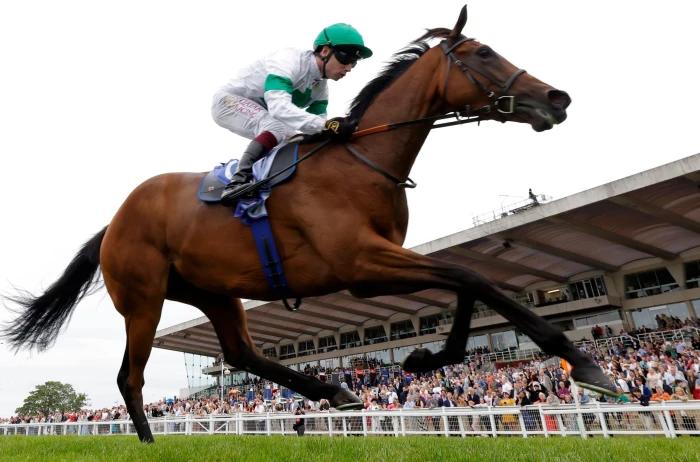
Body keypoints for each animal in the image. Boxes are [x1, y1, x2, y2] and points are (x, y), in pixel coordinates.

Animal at [2, 5, 616, 442]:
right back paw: (153, 442)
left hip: (213, 291)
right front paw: (588, 365)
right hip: (143, 298)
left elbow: (465, 281)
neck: (360, 162)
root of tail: (113, 222)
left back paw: (334, 391)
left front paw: (425, 356)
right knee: (130, 378)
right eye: (485, 52)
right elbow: (475, 277)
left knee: (241, 355)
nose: (557, 97)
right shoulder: (361, 263)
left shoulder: (375, 267)